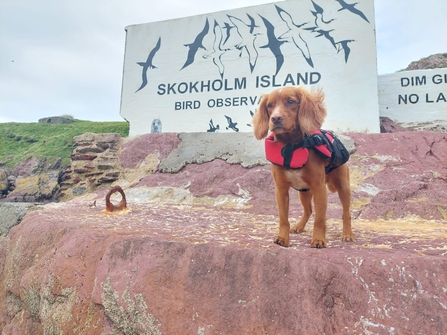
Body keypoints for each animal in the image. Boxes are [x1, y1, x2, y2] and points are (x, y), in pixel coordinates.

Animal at [254, 86, 356, 248]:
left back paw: (347, 234)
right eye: (269, 105)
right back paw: (299, 226)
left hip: (343, 187)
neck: (290, 147)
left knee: (346, 213)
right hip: (304, 191)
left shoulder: (319, 188)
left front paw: (319, 239)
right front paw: (282, 238)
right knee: (308, 210)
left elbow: (320, 219)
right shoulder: (281, 189)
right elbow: (283, 218)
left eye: (291, 101)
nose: (275, 118)